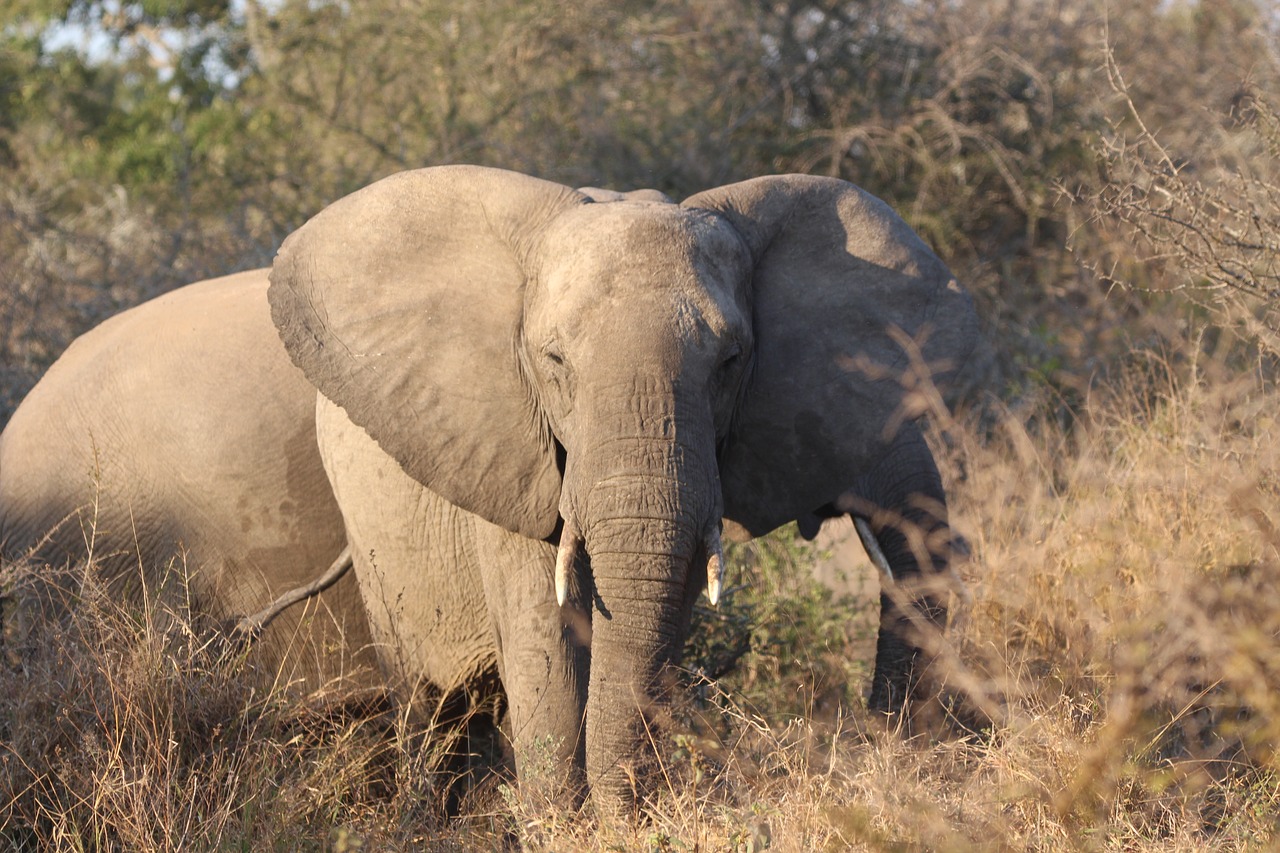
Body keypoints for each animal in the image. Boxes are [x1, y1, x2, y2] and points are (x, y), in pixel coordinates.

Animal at [264, 162, 972, 809]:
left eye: (730, 362)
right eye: (552, 361)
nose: (878, 743)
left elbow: (661, 616)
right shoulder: (508, 456)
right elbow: (545, 639)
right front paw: (562, 825)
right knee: (423, 701)